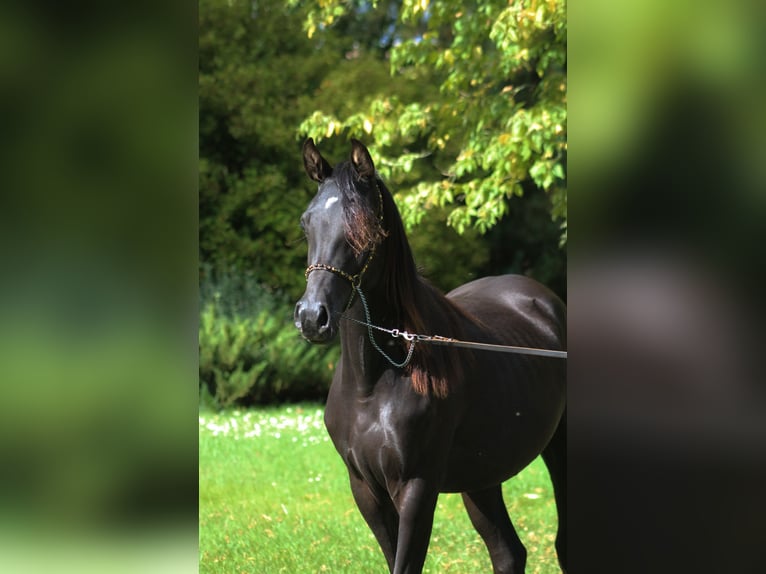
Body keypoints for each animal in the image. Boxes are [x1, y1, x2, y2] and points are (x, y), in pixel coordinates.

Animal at [294, 138, 567, 574]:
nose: (311, 317)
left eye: (366, 226)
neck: (372, 386)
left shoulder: (417, 488)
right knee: (508, 552)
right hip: (481, 476)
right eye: (307, 222)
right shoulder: (365, 489)